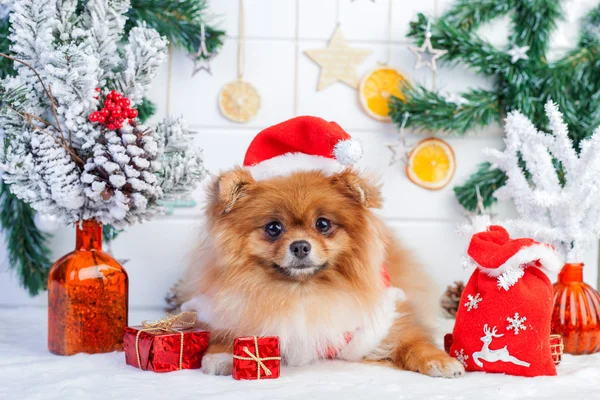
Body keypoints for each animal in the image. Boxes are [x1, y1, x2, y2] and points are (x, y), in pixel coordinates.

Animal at [171, 115, 466, 378]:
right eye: (273, 228)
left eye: (323, 224)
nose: (300, 246)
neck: (304, 293)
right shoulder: (219, 305)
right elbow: (221, 327)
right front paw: (221, 353)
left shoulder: (385, 317)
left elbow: (414, 338)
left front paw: (439, 360)